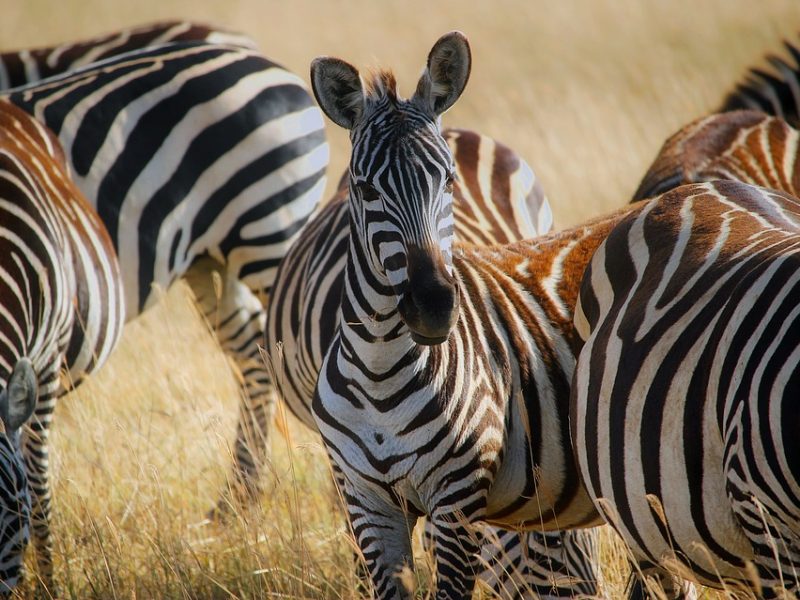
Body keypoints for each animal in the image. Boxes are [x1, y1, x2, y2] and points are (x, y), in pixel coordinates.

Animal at [308, 31, 612, 596]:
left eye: (448, 180)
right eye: (365, 189)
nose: (433, 307)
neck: (379, 371)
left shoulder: (456, 502)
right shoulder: (367, 503)